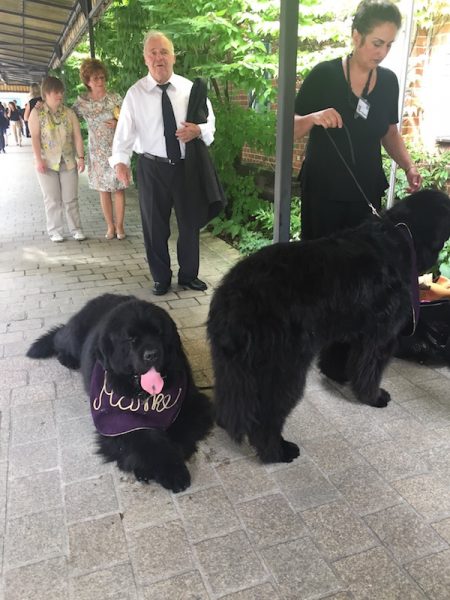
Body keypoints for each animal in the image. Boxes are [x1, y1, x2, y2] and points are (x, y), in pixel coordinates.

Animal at [27, 292, 213, 490]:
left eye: (159, 333)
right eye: (131, 339)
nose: (152, 354)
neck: (145, 396)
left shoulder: (193, 404)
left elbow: (178, 434)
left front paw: (171, 462)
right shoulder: (117, 421)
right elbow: (147, 440)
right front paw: (168, 470)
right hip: (74, 337)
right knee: (60, 338)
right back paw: (67, 358)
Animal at [207, 191, 450, 464]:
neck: (401, 235)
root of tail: (234, 294)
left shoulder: (349, 326)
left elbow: (340, 355)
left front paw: (339, 376)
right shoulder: (381, 335)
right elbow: (370, 370)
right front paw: (372, 396)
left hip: (230, 364)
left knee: (230, 398)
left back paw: (226, 423)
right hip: (284, 368)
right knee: (267, 416)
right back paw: (277, 451)